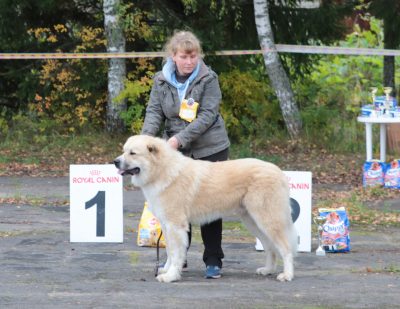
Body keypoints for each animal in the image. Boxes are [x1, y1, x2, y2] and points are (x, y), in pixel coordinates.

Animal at [113, 135, 296, 282]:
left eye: (132, 153)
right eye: (124, 151)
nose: (115, 162)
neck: (162, 170)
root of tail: (279, 171)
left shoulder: (175, 225)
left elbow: (176, 252)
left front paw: (171, 276)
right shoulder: (167, 225)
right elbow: (170, 251)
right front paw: (166, 269)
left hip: (268, 220)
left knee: (286, 248)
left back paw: (287, 275)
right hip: (253, 221)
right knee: (270, 247)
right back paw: (268, 270)